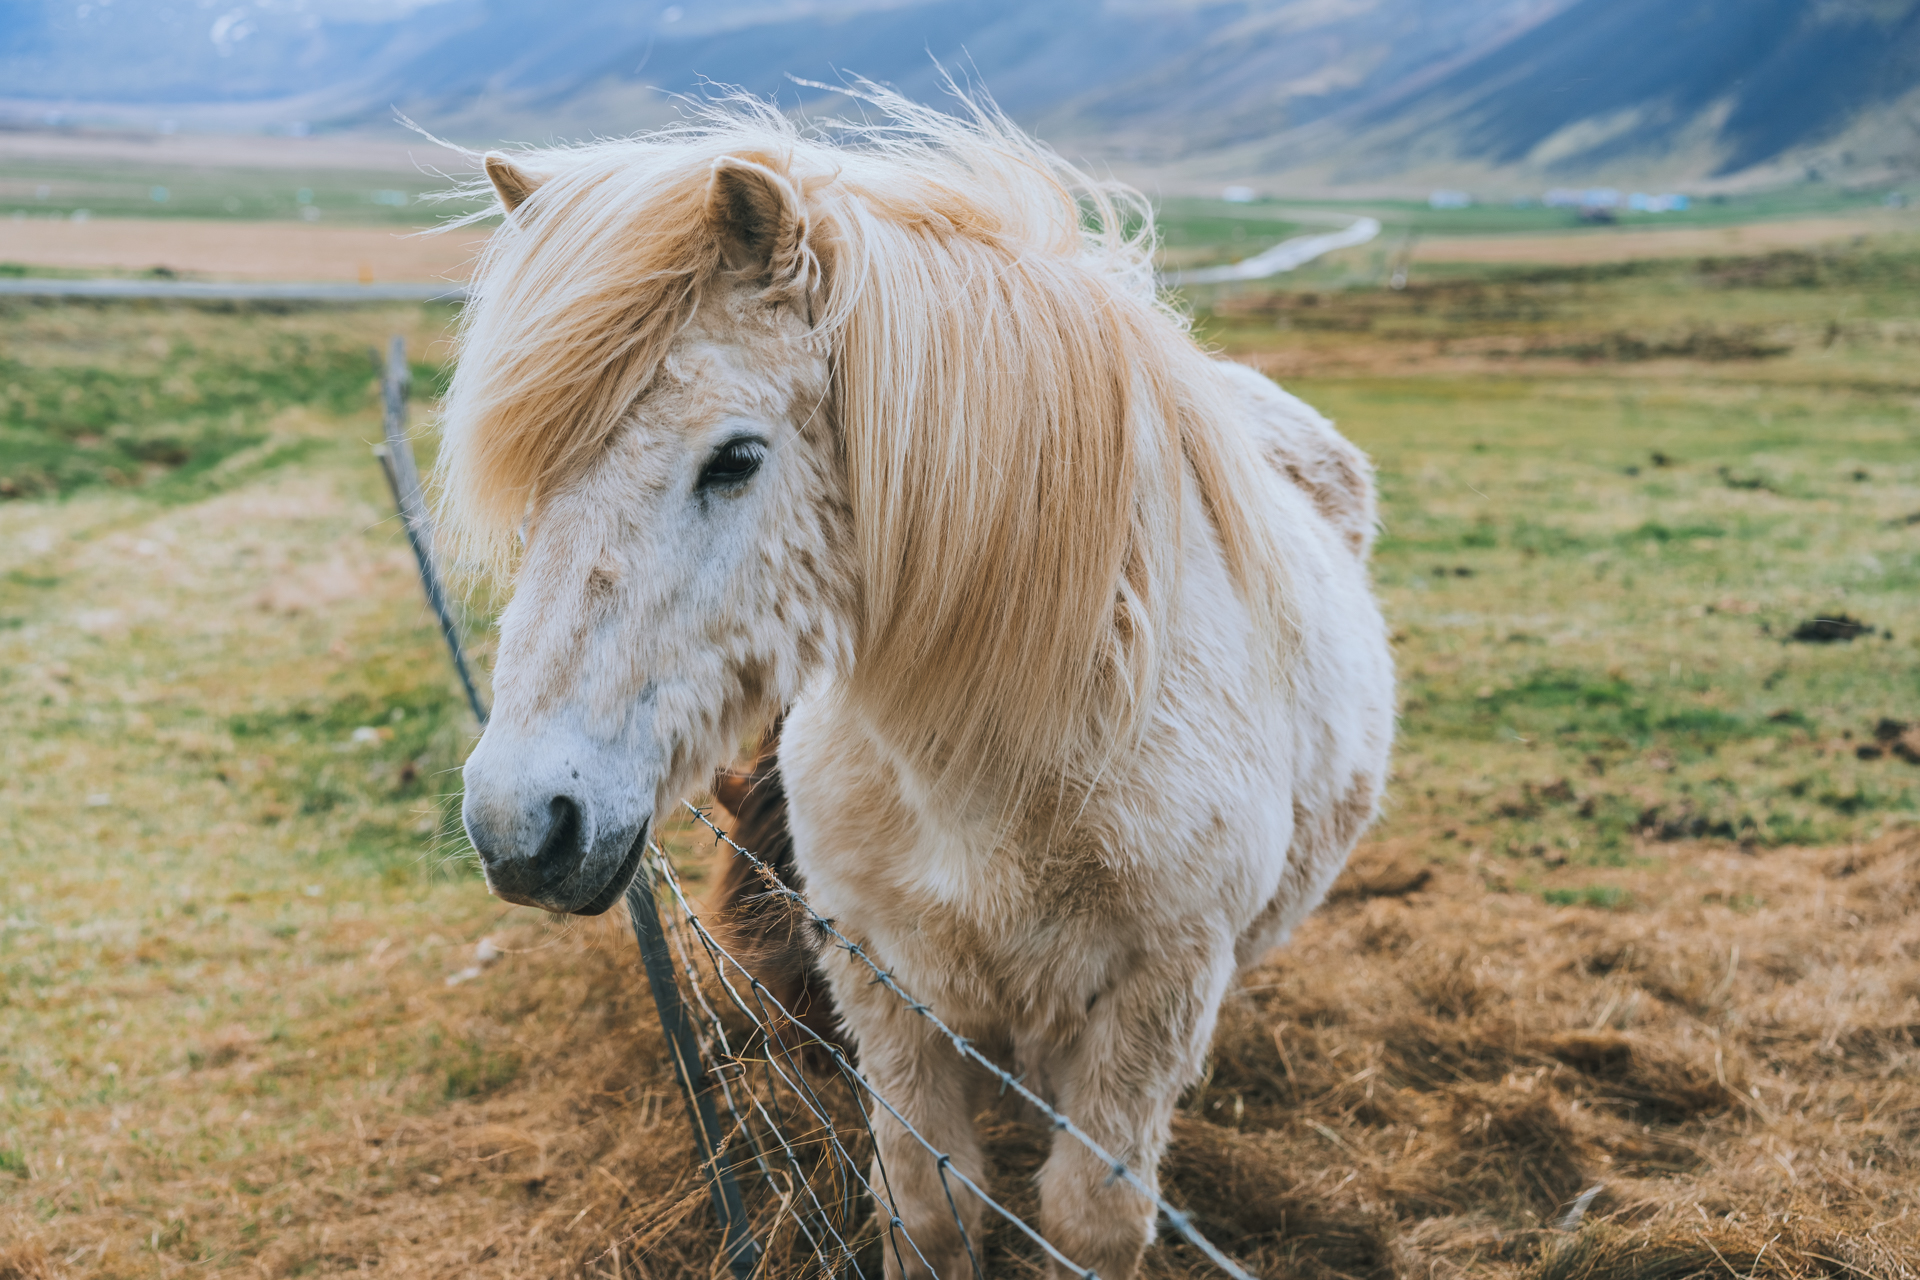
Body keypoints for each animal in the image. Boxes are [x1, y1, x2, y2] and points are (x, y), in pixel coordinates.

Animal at [441, 90, 1390, 1280]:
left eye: (736, 458)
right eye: (542, 477)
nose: (520, 821)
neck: (1008, 759)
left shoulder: (1157, 990)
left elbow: (1090, 1222)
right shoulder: (879, 979)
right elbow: (928, 1205)